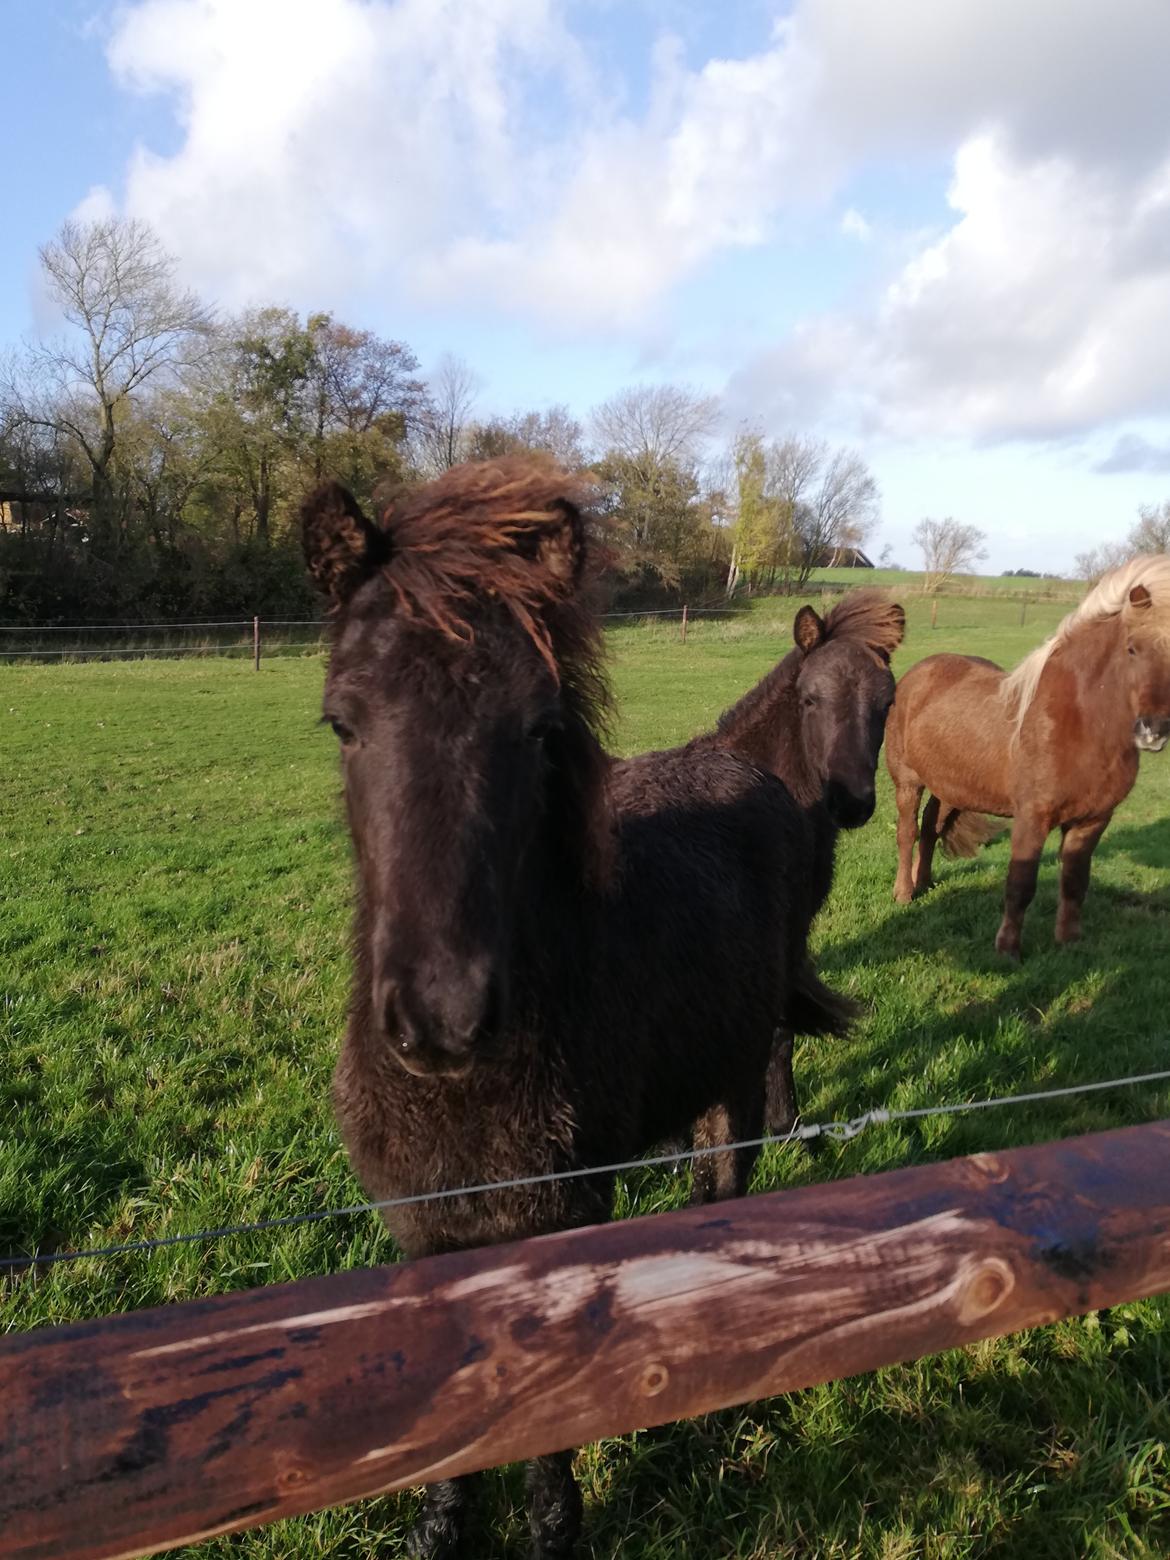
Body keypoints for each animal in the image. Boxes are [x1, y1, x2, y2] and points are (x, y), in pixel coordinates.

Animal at [302, 455, 898, 1553]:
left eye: (542, 730)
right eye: (342, 720)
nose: (444, 1017)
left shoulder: (558, 1220)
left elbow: (545, 1417)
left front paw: (555, 1529)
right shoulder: (424, 1230)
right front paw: (440, 1528)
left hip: (729, 1080)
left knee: (724, 1186)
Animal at [886, 555, 1170, 954]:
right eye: (1132, 648)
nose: (1153, 730)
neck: (1079, 723)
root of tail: (917, 674)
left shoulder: (1093, 820)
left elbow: (1075, 882)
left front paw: (1069, 942)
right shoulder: (1032, 817)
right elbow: (1020, 884)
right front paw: (1007, 949)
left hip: (951, 786)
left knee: (930, 828)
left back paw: (923, 881)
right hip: (908, 781)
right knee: (907, 832)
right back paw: (904, 892)